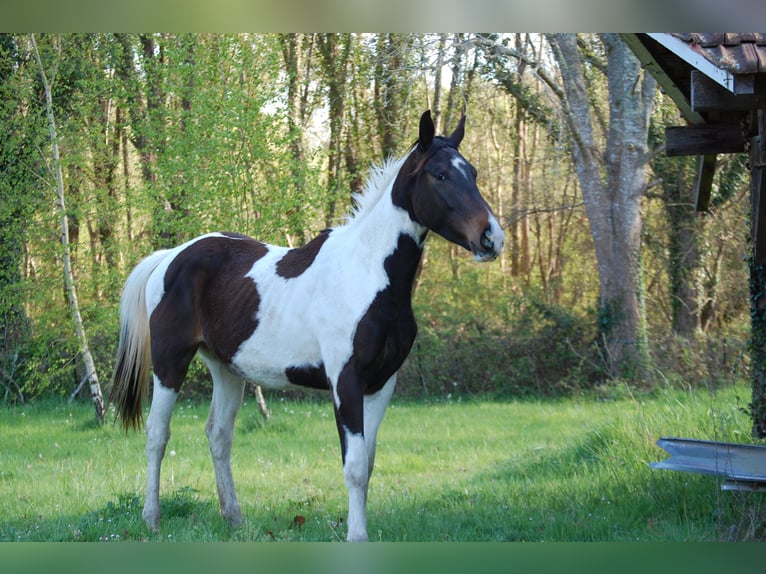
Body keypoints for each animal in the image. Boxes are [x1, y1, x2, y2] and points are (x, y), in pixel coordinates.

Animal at [108, 110, 504, 544]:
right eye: (440, 175)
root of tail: (170, 257)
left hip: (226, 369)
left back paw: (234, 518)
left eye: (473, 173)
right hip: (170, 362)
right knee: (156, 435)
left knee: (218, 435)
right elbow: (353, 465)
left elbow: (368, 463)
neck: (368, 275)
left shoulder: (382, 384)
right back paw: (151, 517)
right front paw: (356, 537)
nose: (491, 238)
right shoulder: (345, 382)